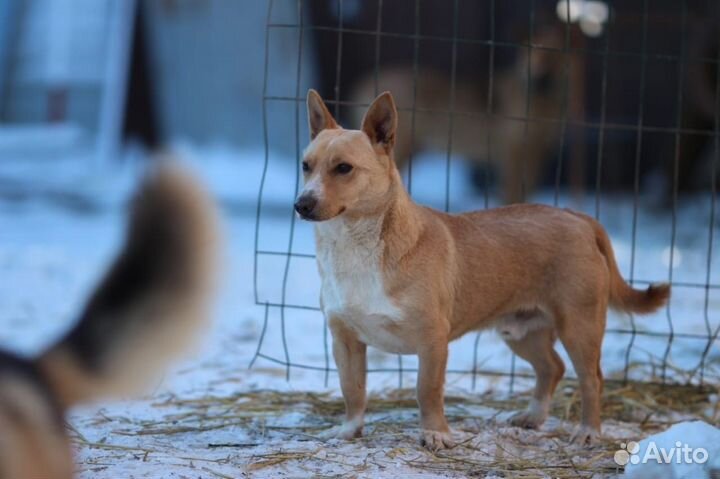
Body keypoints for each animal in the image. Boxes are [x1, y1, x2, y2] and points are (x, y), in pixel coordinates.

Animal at [296, 88, 672, 452]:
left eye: (344, 168)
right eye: (306, 166)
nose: (301, 204)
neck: (354, 246)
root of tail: (578, 217)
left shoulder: (432, 341)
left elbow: (427, 391)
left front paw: (435, 434)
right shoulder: (345, 341)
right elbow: (352, 390)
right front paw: (349, 430)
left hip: (579, 327)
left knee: (591, 378)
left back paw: (588, 432)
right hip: (522, 332)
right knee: (552, 368)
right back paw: (534, 417)